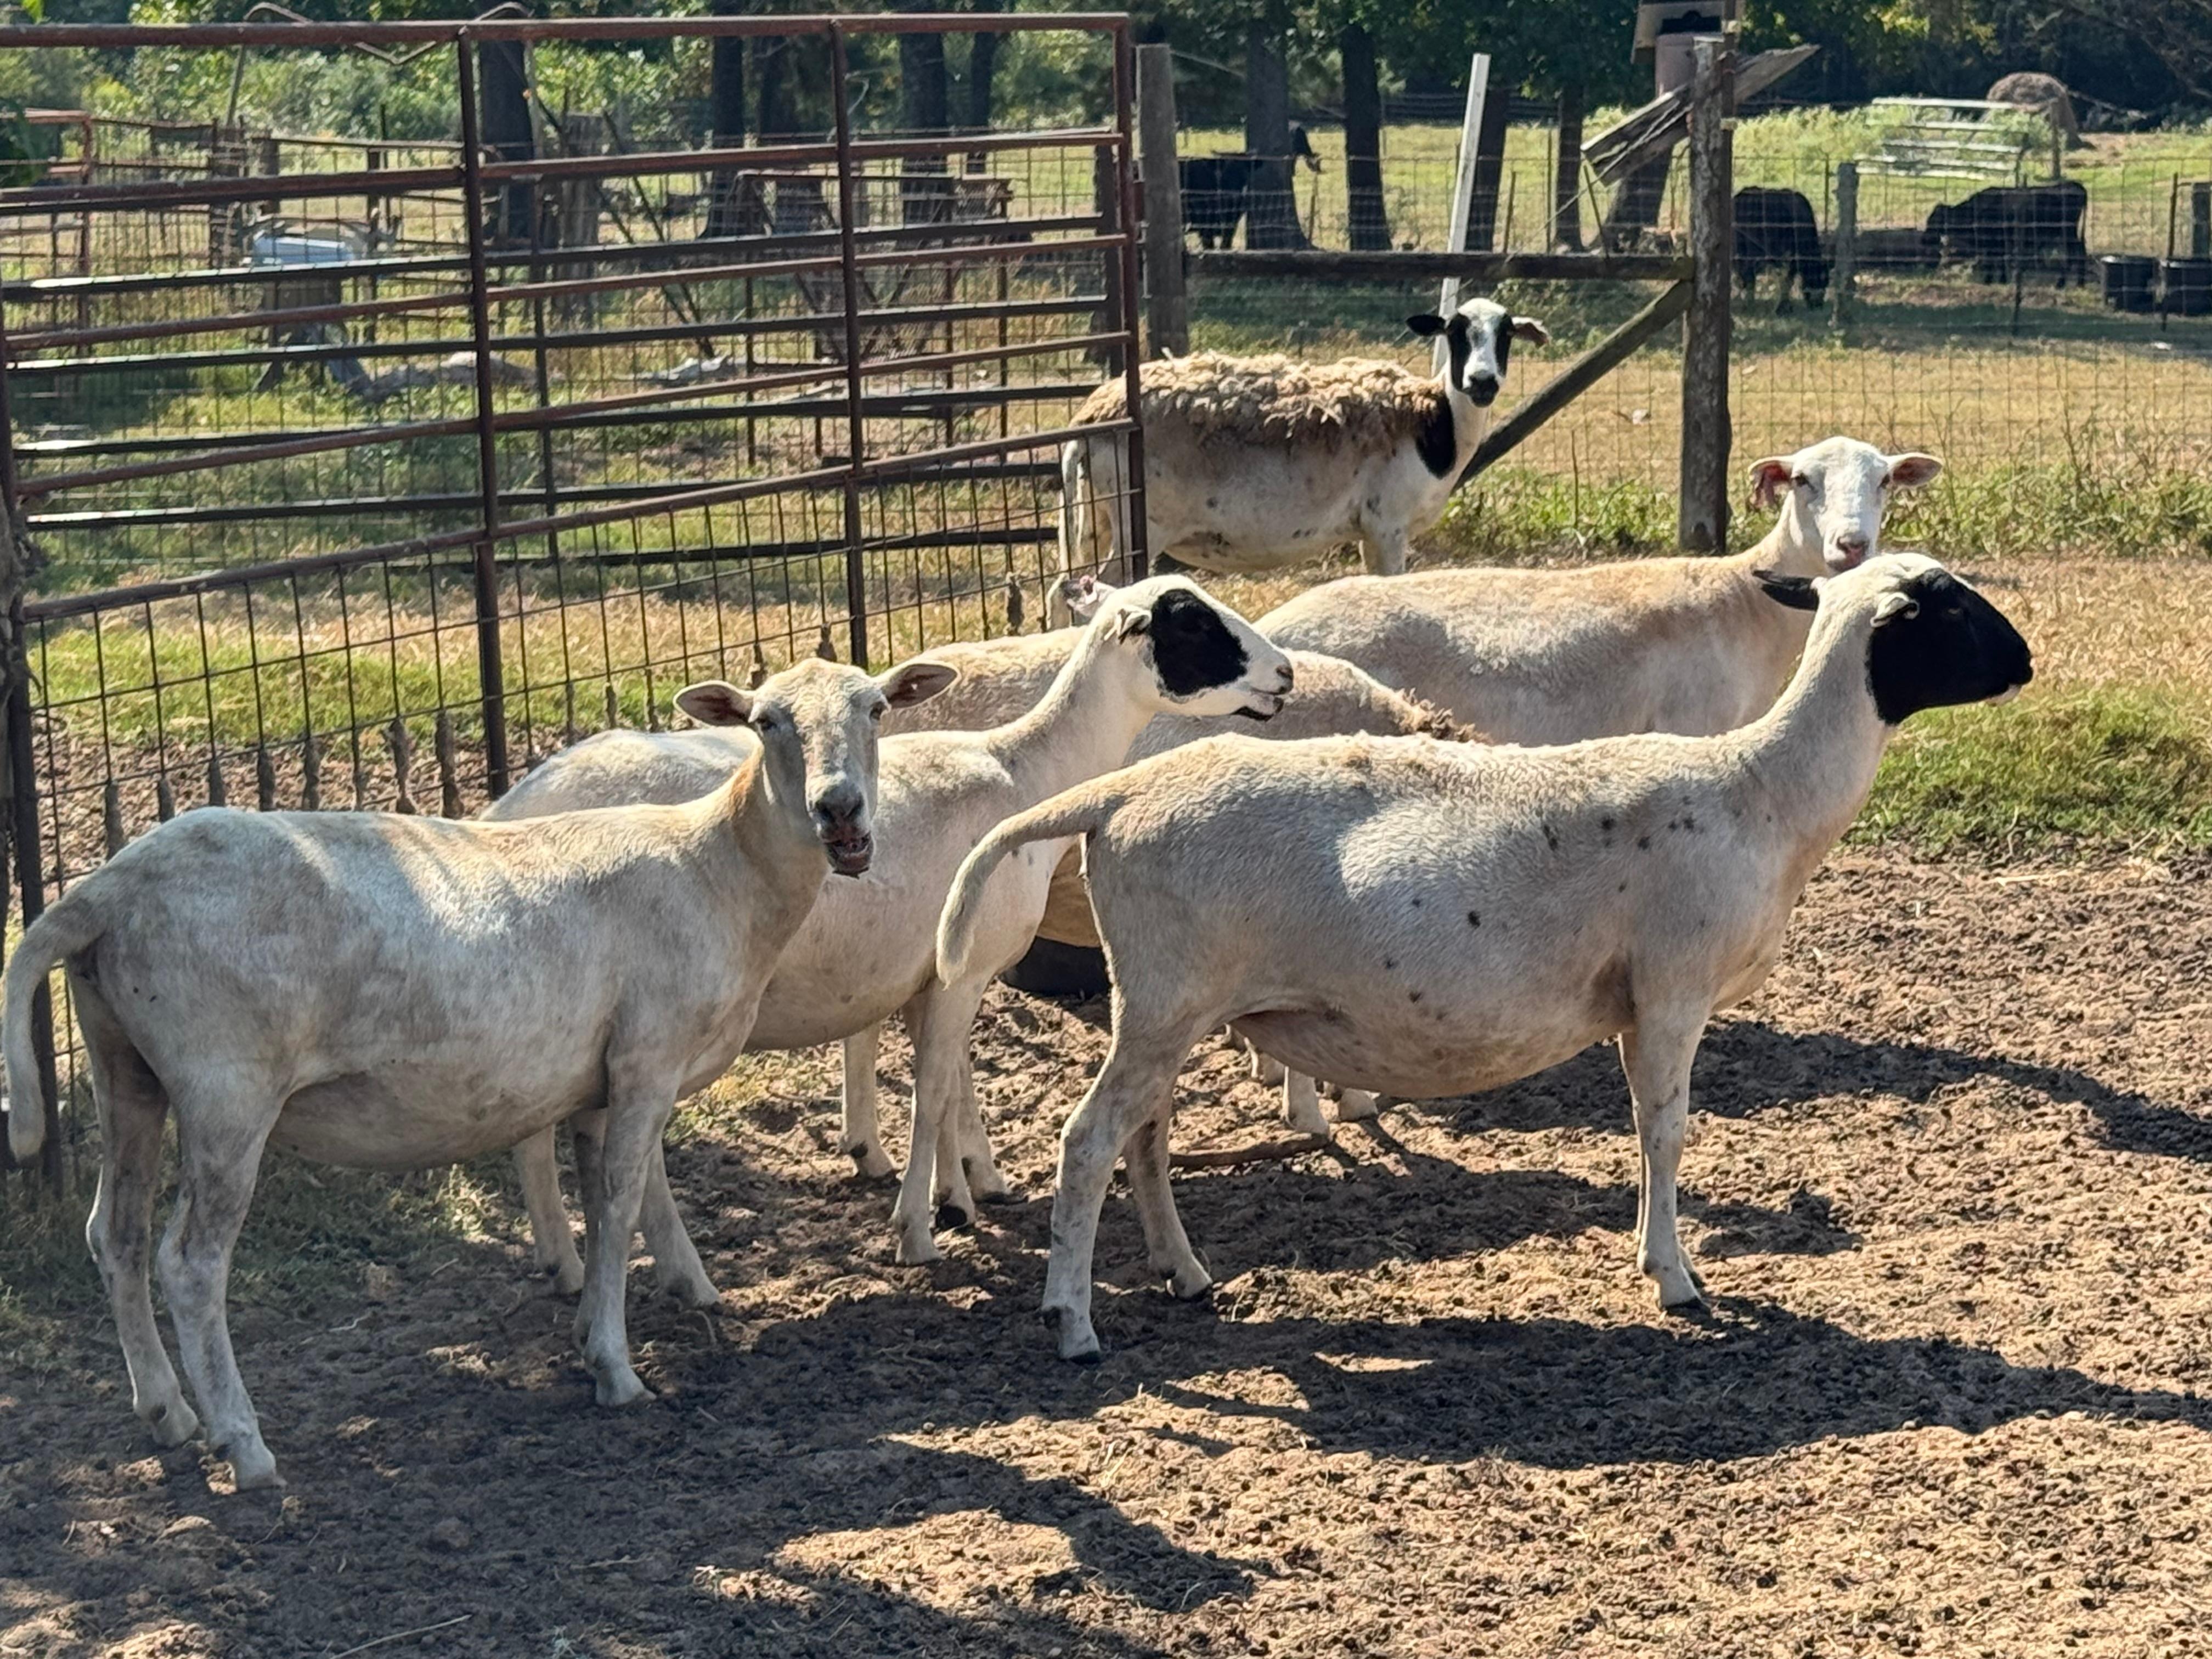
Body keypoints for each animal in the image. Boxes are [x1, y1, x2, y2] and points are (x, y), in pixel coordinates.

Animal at [0, 658, 950, 1489]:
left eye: (876, 708)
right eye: (766, 722)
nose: (840, 810)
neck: (720, 869)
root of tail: (105, 891)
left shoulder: (598, 1079)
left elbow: (603, 1198)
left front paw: (590, 1329)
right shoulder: (647, 1056)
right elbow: (617, 1203)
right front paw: (616, 1368)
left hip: (125, 1066)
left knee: (115, 1235)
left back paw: (167, 1412)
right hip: (225, 1088)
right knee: (191, 1263)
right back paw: (244, 1444)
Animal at [488, 576, 1292, 1274]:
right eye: (1191, 622)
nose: (1284, 674)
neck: (1023, 769)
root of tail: (507, 806)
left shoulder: (928, 974)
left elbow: (952, 1080)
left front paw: (967, 1187)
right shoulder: (965, 969)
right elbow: (933, 1090)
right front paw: (921, 1227)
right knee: (539, 1135)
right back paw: (571, 1264)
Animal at [936, 553, 2032, 1361]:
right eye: (1948, 603)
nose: (2026, 663)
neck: (1760, 791)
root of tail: (1118, 793)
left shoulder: (1638, 1002)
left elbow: (1648, 1132)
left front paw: (1655, 1257)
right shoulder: (1674, 989)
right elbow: (1667, 1130)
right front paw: (1675, 1277)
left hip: (1169, 1003)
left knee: (1146, 1135)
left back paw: (1185, 1273)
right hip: (1167, 999)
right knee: (1089, 1141)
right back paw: (1073, 1320)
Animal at [1054, 296, 1547, 610]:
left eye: (1506, 334)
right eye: (1456, 331)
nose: (1482, 382)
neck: (1434, 420)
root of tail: (1090, 421)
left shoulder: (1369, 533)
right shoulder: (1387, 525)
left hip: (1095, 518)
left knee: (1064, 588)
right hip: (1141, 525)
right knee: (1100, 589)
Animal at [1259, 436, 1944, 747]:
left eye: (1884, 480)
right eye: (1802, 481)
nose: (1852, 545)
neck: (1744, 605)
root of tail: (1271, 627)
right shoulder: (1691, 725)